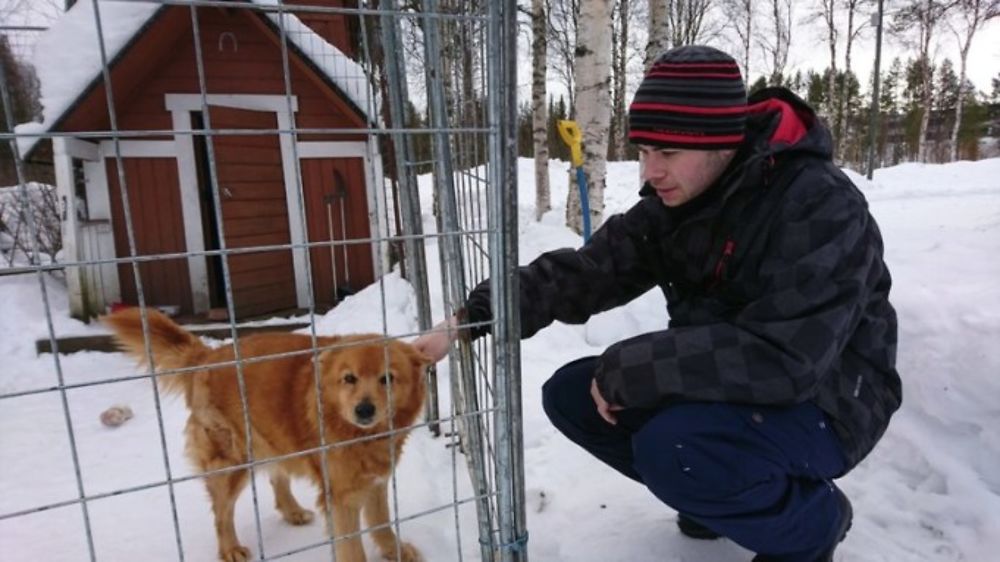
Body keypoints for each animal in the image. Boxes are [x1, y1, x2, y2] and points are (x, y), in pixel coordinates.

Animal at [103, 306, 428, 560]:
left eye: (387, 379)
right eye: (349, 379)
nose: (364, 410)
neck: (362, 434)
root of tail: (208, 356)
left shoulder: (376, 481)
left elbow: (382, 522)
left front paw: (395, 551)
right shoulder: (341, 497)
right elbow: (351, 548)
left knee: (276, 475)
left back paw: (292, 511)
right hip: (231, 462)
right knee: (221, 513)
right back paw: (230, 549)